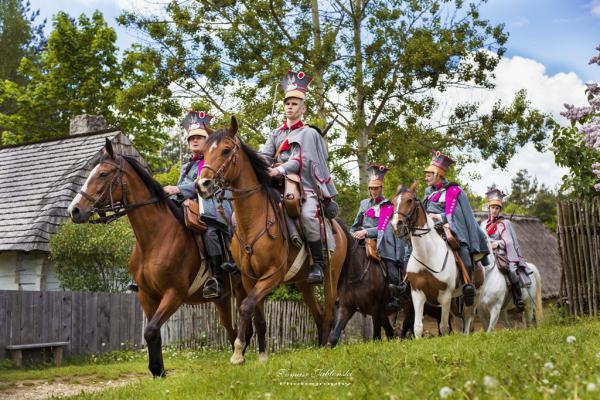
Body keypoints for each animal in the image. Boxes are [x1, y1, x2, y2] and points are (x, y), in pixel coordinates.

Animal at [65, 139, 244, 376]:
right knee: (231, 330)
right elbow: (153, 332)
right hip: (222, 299)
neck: (155, 237)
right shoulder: (147, 295)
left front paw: (158, 369)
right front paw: (158, 370)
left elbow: (150, 330)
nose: (74, 210)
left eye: (103, 174)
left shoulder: (174, 294)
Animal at [195, 116, 350, 366]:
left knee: (328, 312)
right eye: (204, 152)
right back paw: (319, 346)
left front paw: (238, 353)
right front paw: (260, 355)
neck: (254, 221)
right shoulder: (249, 279)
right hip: (304, 283)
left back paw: (326, 347)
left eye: (226, 150)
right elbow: (257, 315)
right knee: (317, 313)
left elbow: (245, 306)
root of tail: (338, 227)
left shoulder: (271, 276)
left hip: (331, 277)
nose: (203, 185)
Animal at [390, 184, 482, 338]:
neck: (427, 254)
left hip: (471, 298)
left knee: (468, 319)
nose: (396, 225)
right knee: (460, 320)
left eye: (410, 200)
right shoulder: (417, 293)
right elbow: (417, 327)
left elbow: (444, 328)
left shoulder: (445, 296)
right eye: (393, 202)